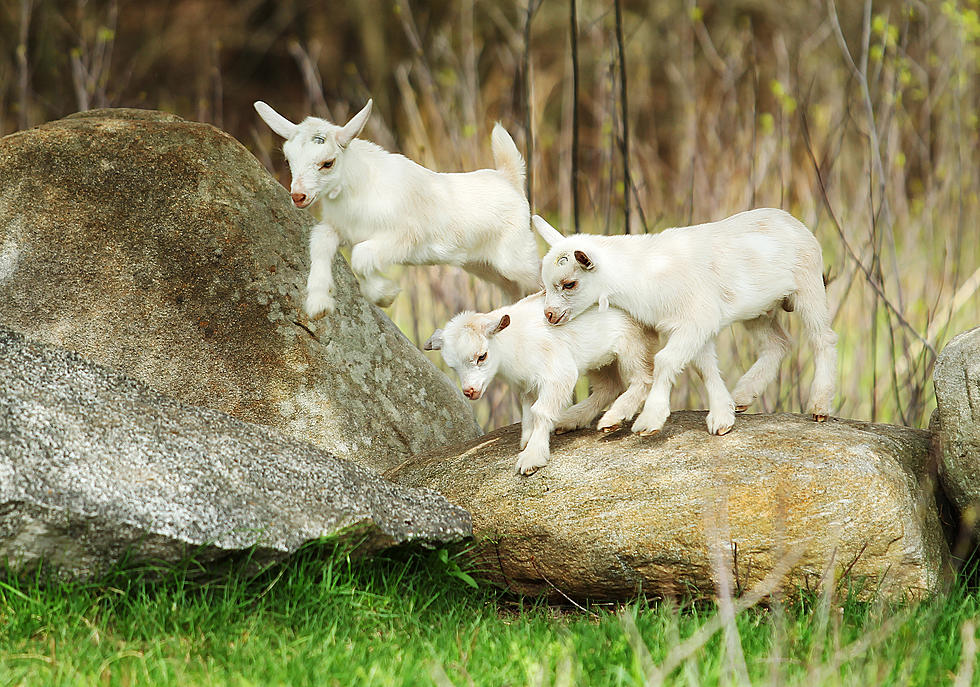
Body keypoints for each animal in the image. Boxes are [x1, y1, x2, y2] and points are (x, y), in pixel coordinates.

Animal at [253, 98, 540, 318]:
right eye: (288, 160)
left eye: (328, 163)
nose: (298, 196)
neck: (358, 189)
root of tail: (509, 178)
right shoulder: (338, 228)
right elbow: (320, 243)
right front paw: (319, 304)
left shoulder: (404, 236)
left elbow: (361, 256)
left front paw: (384, 294)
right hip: (483, 265)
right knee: (514, 290)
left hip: (516, 256)